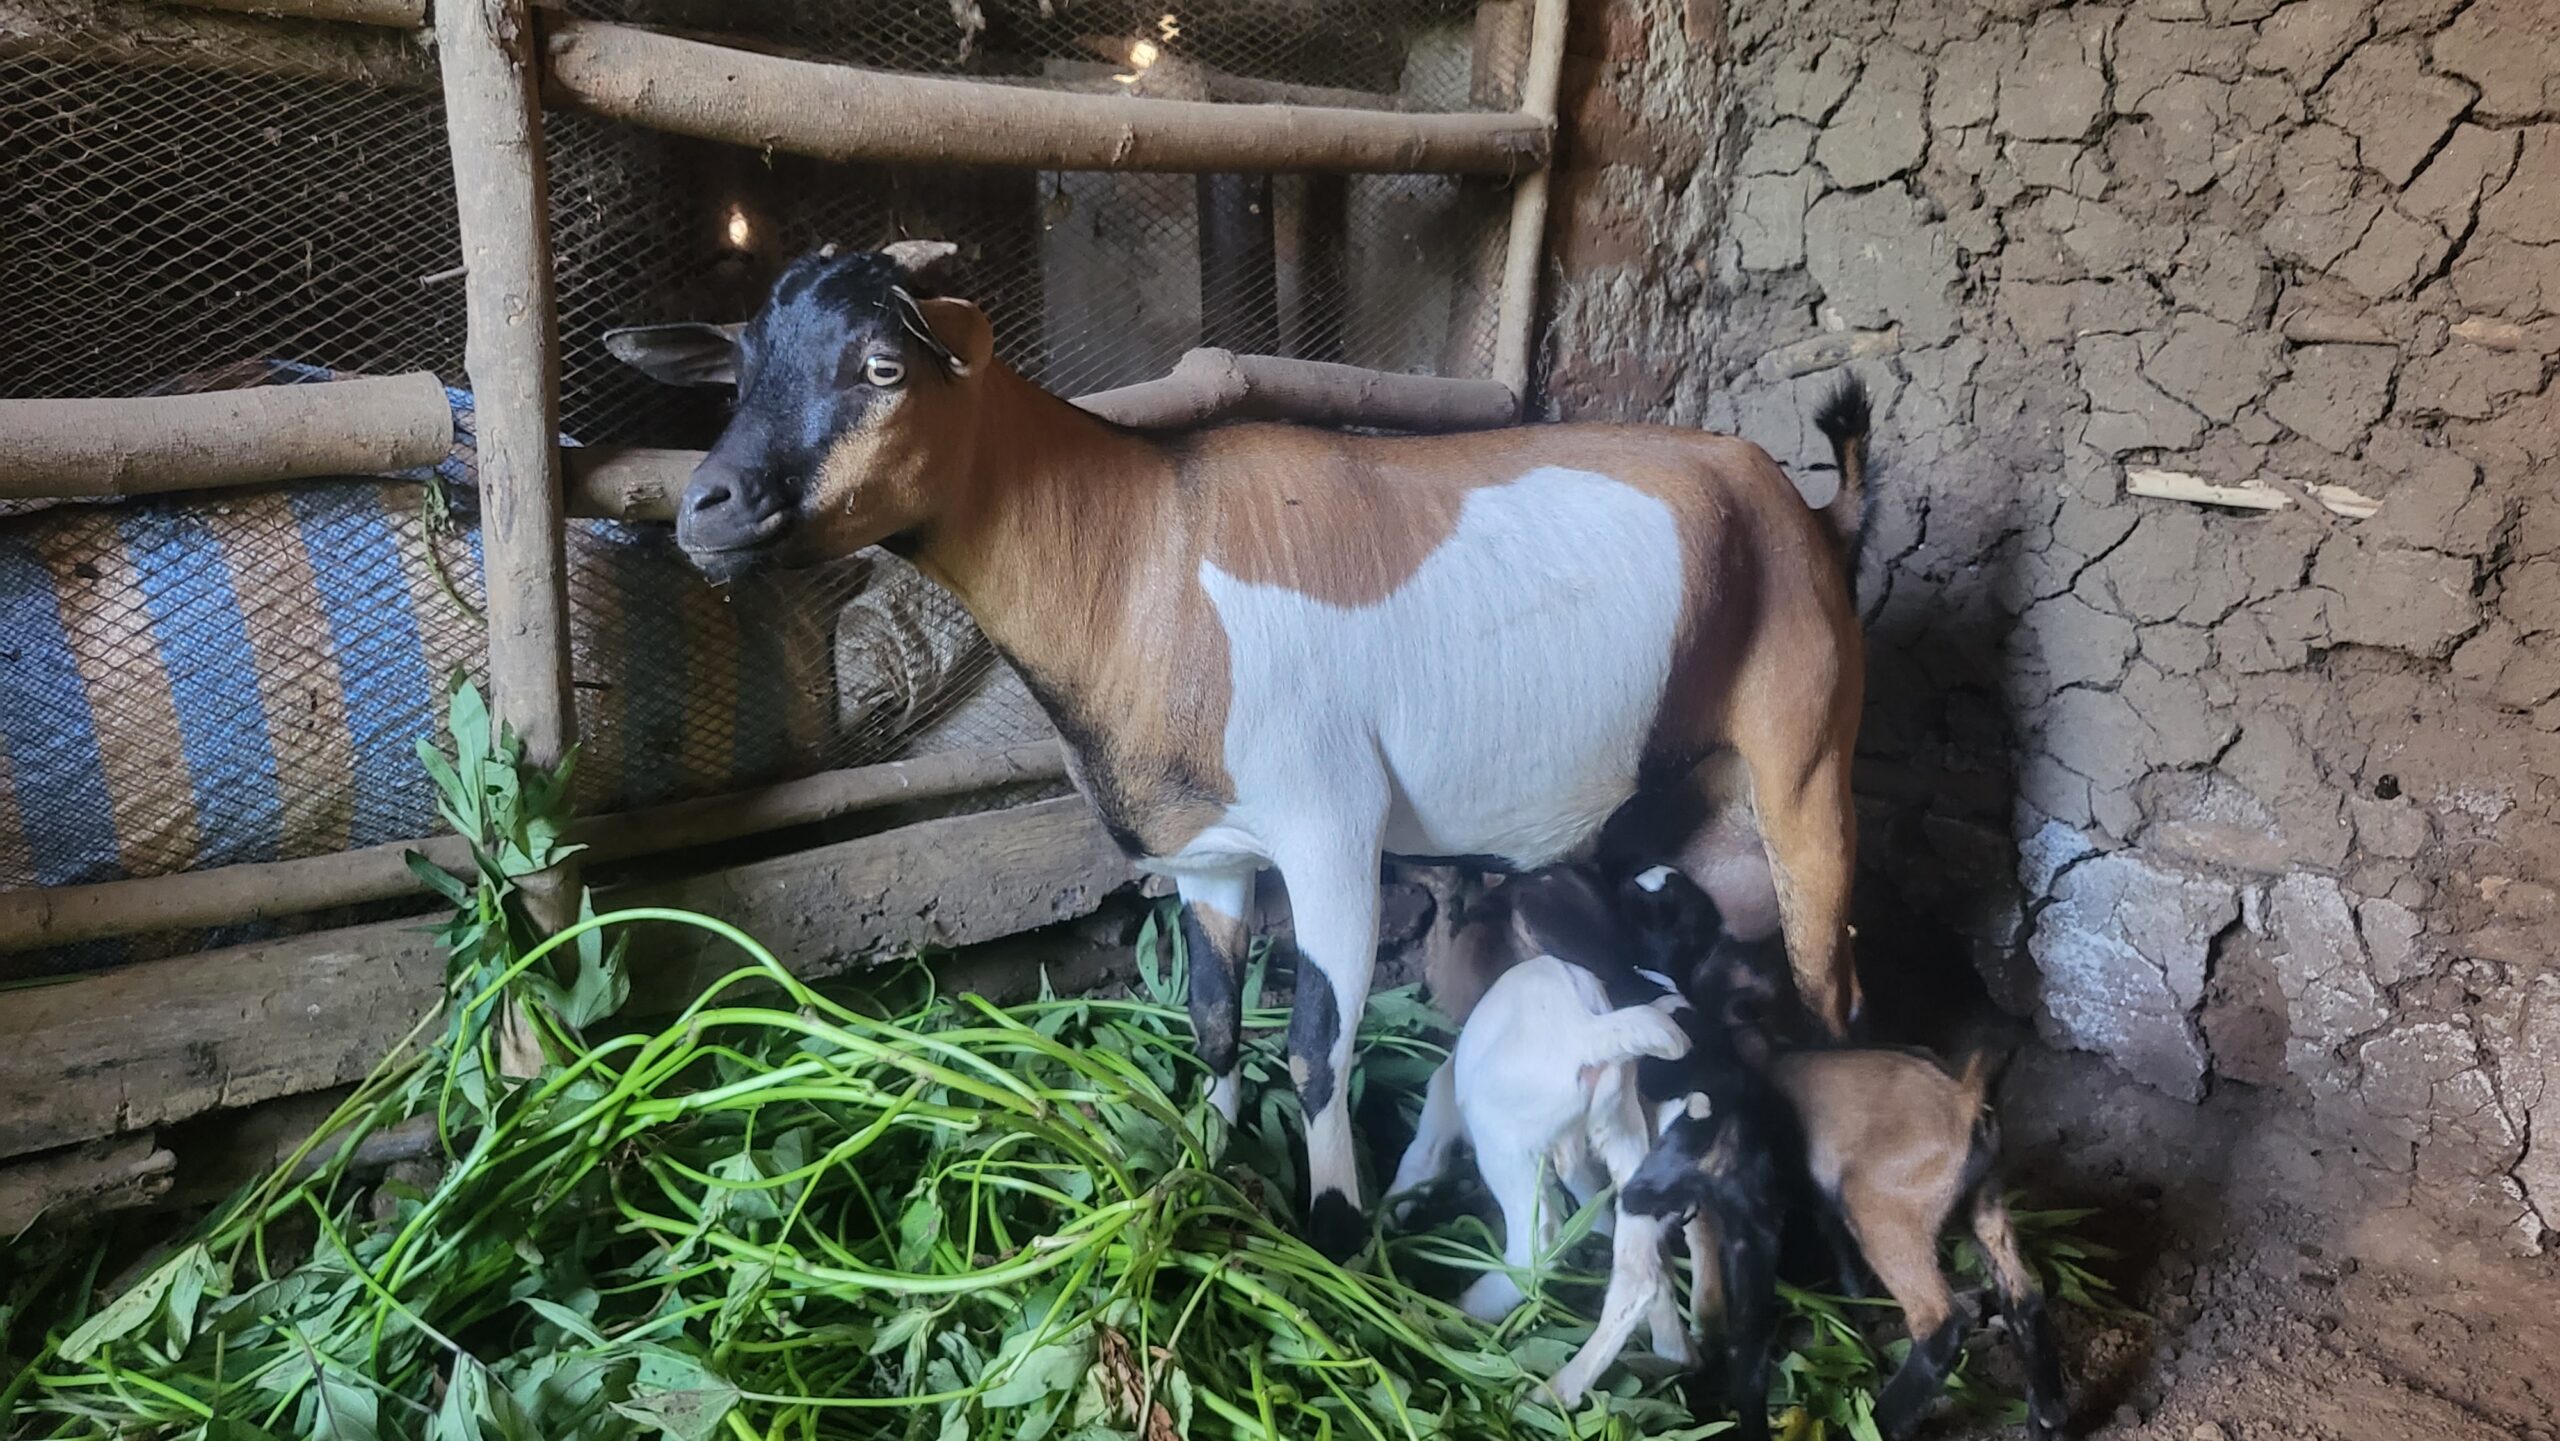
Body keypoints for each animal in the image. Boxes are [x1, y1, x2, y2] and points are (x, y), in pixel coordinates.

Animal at [609, 240, 1874, 1257]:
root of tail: (1813, 512)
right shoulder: (1208, 853)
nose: (708, 507)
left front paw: (1335, 1226)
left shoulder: (1329, 829)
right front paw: (1204, 1165)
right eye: (737, 371)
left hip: (1807, 766)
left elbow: (1315, 1043)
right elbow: (1213, 1021)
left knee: (1831, 993)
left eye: (880, 367)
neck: (1141, 553)